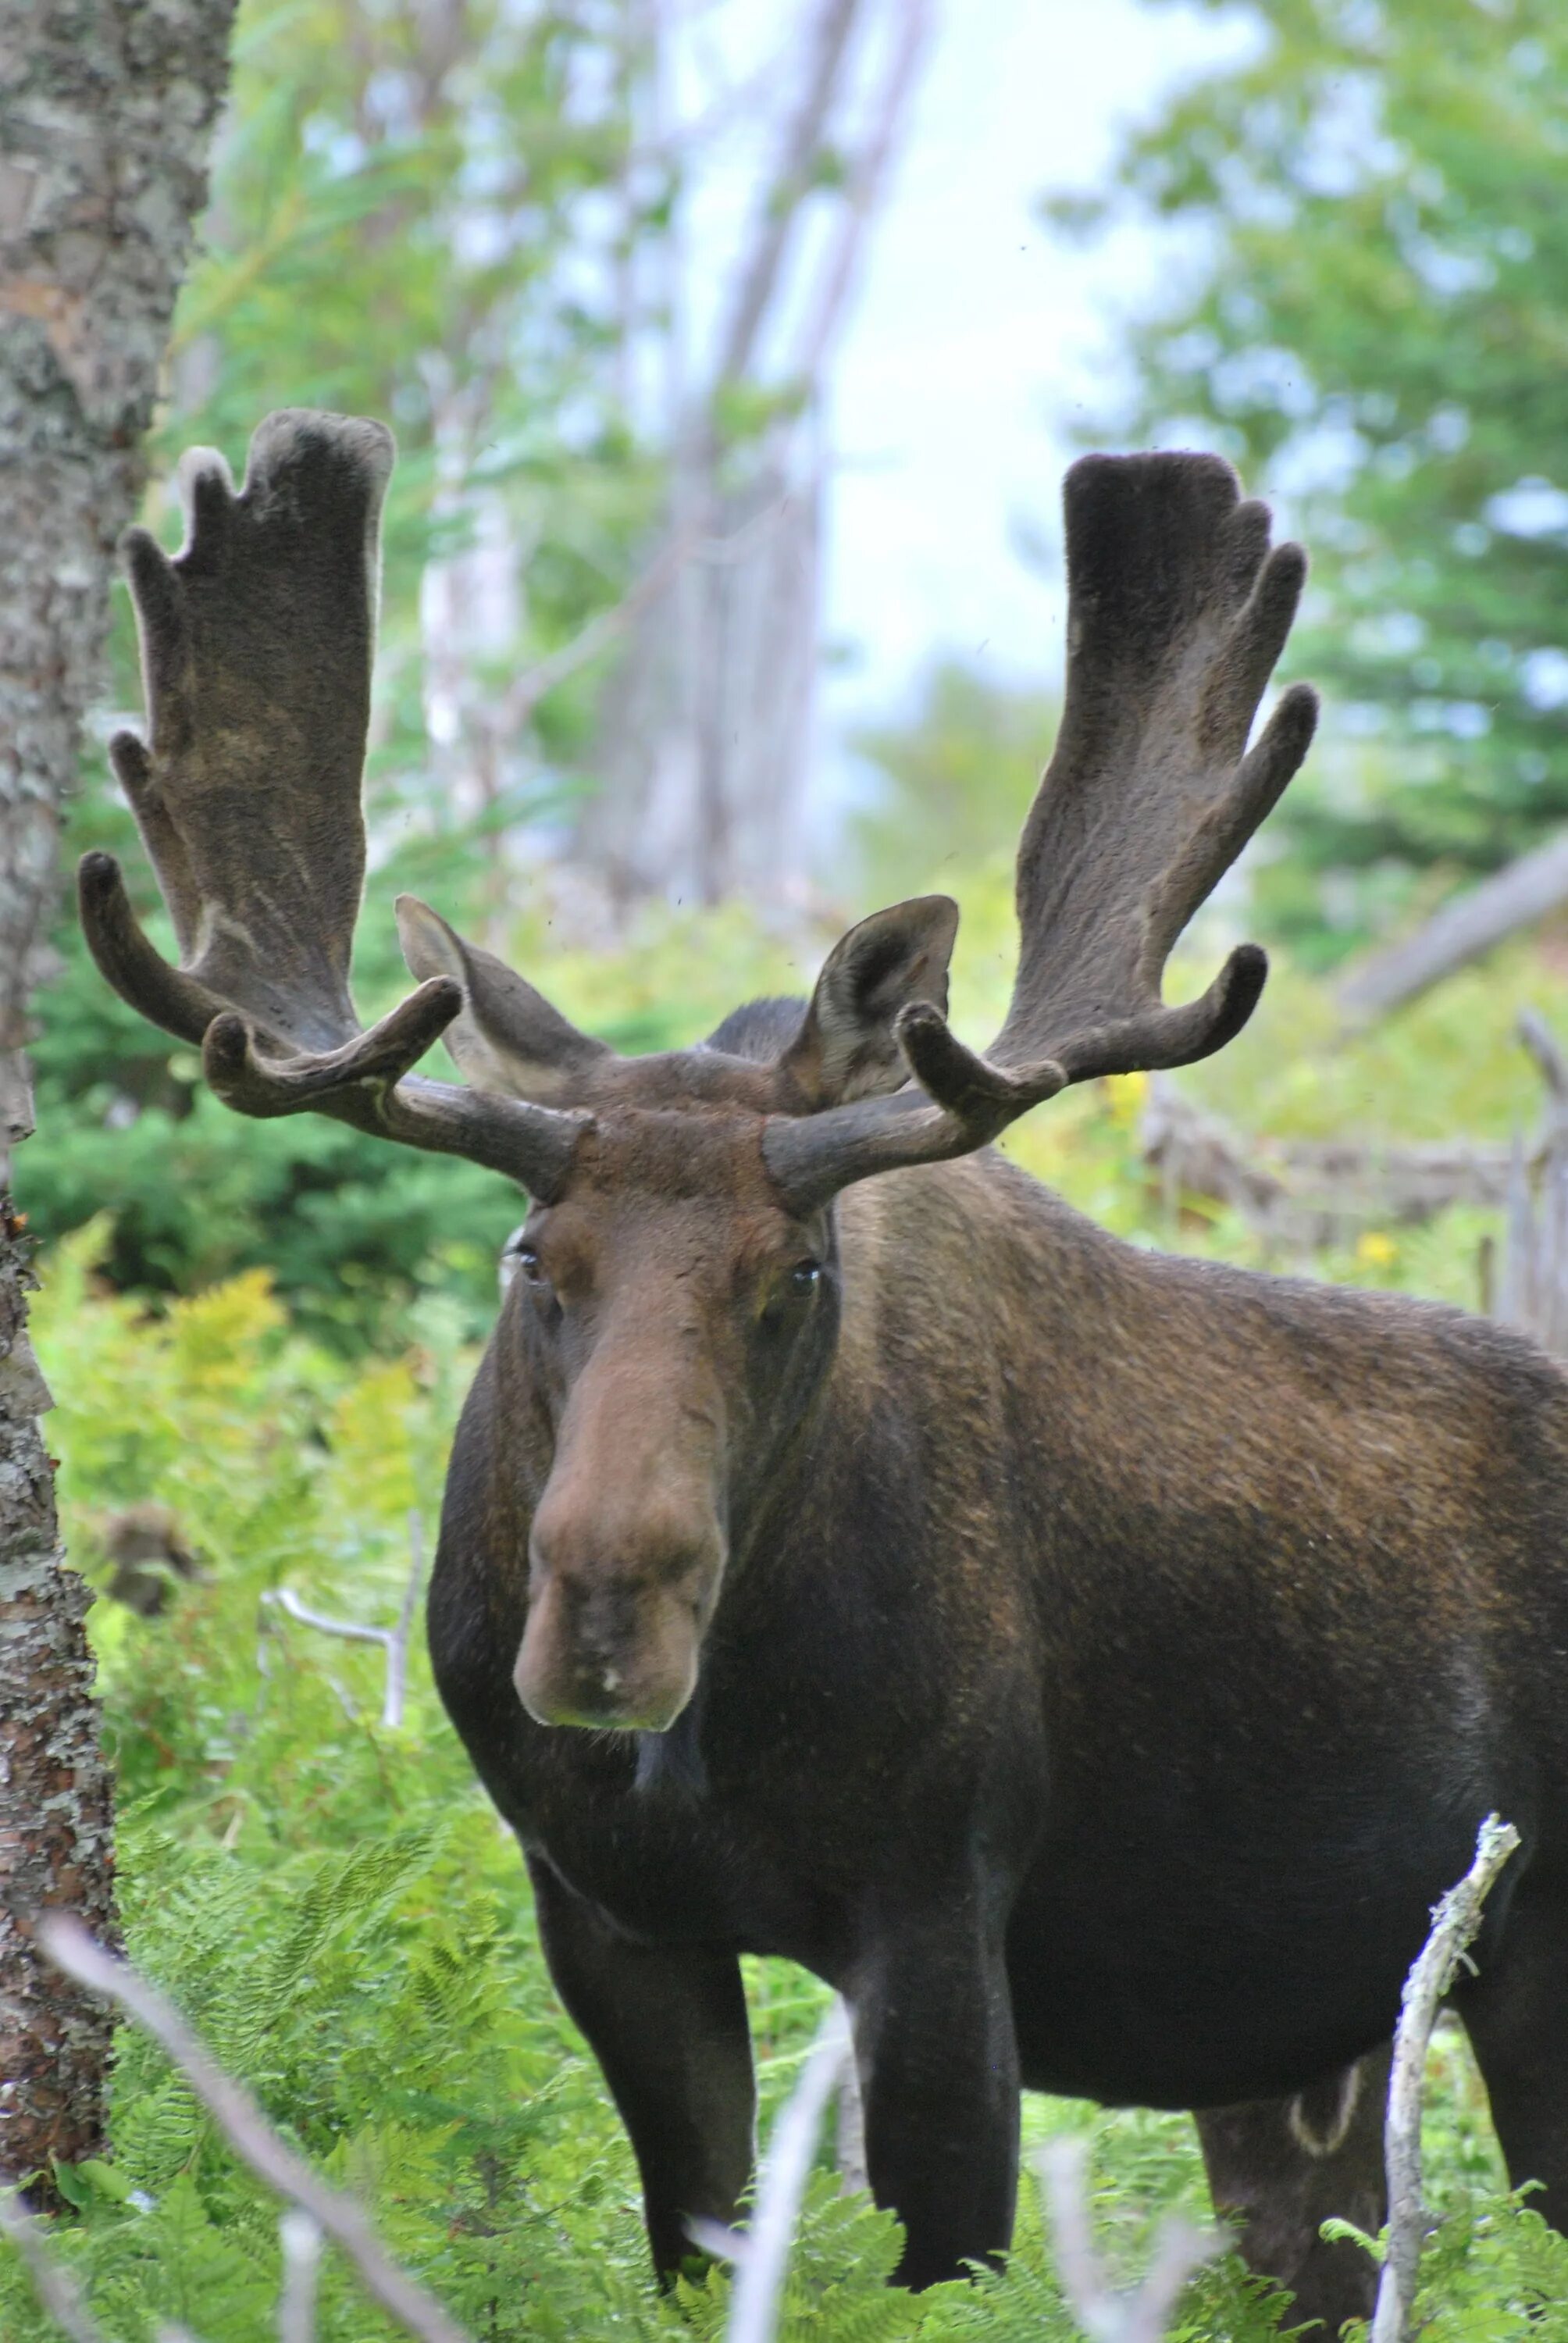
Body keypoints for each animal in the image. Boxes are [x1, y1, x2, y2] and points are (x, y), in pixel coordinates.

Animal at [76, 408, 1568, 2324]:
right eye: (528, 1259)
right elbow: (698, 2256)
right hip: (1302, 2051)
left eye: (796, 1270)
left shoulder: (934, 1912)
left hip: (1531, 1959)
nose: (607, 1614)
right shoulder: (605, 1915)